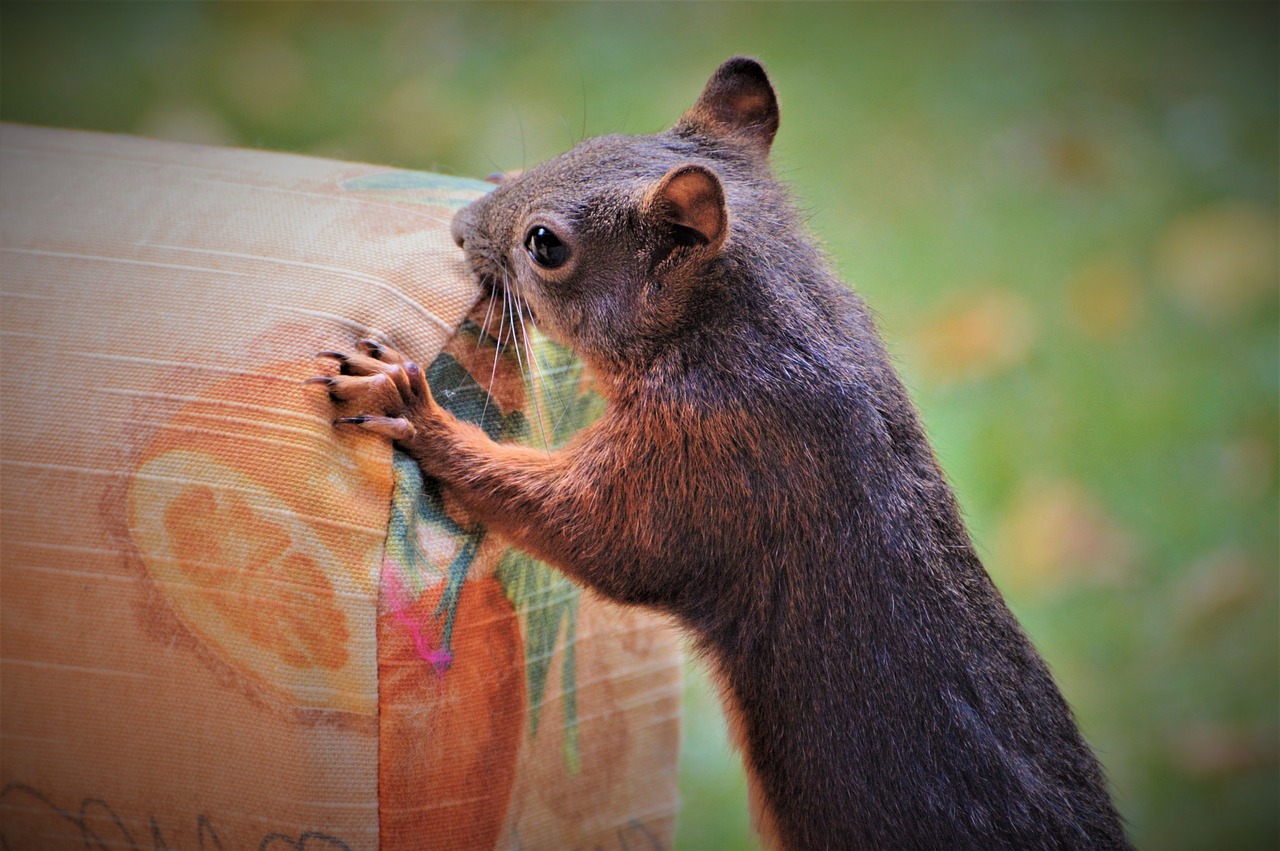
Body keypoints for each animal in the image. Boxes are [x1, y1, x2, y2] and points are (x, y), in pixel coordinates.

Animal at [314, 56, 1136, 844]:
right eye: (584, 145)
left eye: (544, 246)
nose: (459, 226)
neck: (741, 327)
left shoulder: (712, 455)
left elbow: (600, 532)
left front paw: (418, 412)